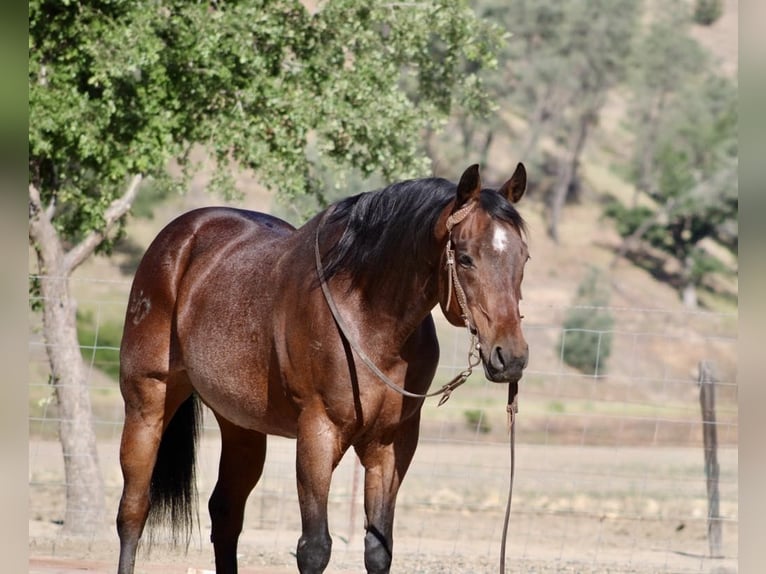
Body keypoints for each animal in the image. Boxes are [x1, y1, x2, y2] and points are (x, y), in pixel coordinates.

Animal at [116, 162, 530, 574]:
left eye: (524, 257)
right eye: (466, 258)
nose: (511, 357)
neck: (367, 318)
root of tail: (181, 237)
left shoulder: (391, 444)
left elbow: (378, 548)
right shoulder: (318, 432)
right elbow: (314, 548)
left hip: (241, 426)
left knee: (226, 513)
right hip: (147, 404)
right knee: (133, 512)